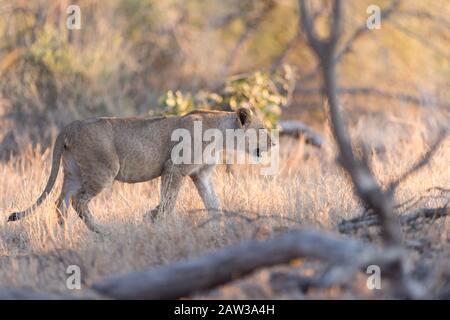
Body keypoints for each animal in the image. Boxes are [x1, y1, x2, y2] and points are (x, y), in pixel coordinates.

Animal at [7, 107, 270, 232]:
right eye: (262, 130)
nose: (273, 143)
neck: (220, 134)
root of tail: (68, 127)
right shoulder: (174, 169)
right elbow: (168, 203)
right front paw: (152, 218)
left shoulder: (200, 174)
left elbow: (213, 203)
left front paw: (218, 229)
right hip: (103, 170)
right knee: (78, 201)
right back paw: (104, 232)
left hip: (73, 171)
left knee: (60, 203)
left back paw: (62, 236)